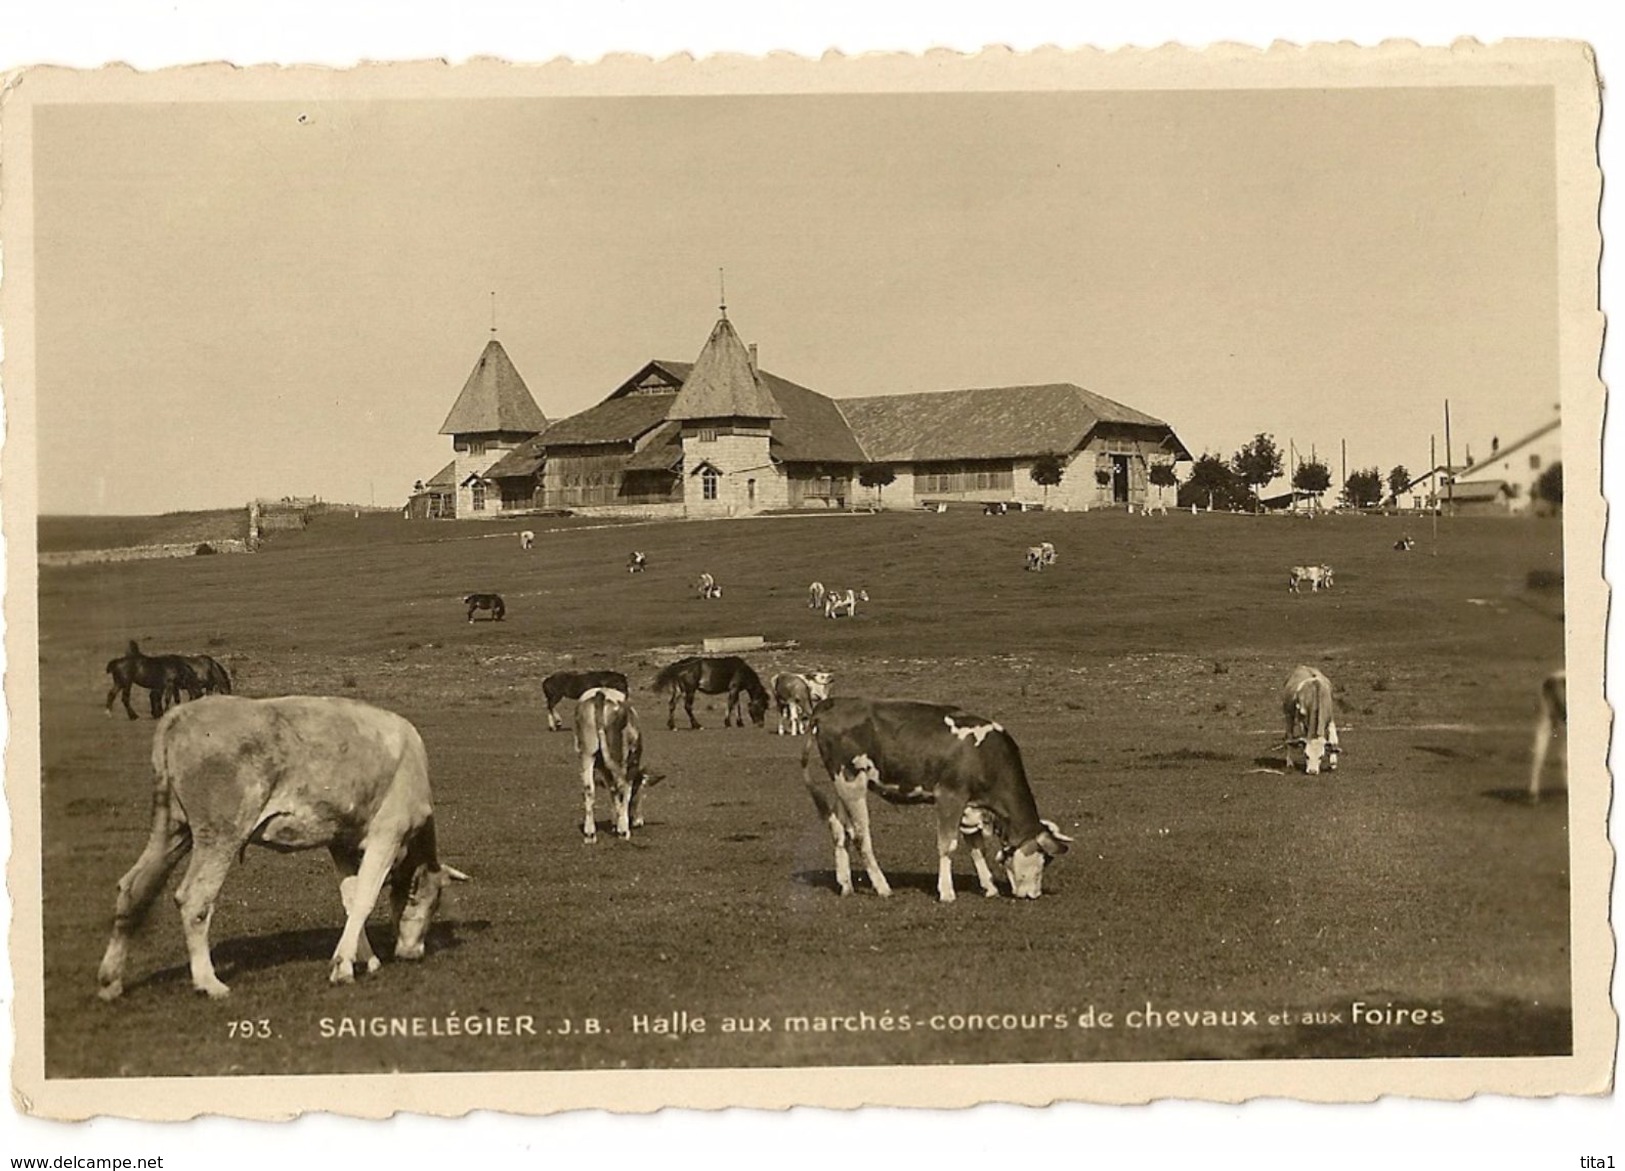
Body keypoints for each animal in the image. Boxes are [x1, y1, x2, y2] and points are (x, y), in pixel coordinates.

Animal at [98, 698, 471, 1000]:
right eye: (428, 902)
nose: (413, 954)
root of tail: (181, 713)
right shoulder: (388, 832)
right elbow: (365, 898)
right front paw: (342, 966)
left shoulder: (341, 842)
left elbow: (351, 900)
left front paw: (363, 959)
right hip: (220, 832)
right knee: (194, 898)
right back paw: (209, 982)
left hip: (173, 827)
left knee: (132, 887)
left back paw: (110, 981)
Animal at [575, 685, 663, 838]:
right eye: (641, 792)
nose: (639, 821)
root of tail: (601, 693)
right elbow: (624, 792)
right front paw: (621, 823)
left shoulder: (604, 768)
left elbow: (612, 790)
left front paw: (615, 822)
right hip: (622, 757)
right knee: (623, 785)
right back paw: (624, 830)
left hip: (588, 753)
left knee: (589, 789)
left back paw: (590, 833)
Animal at [802, 698, 1079, 903]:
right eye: (1042, 858)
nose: (1034, 894)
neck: (985, 756)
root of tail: (834, 702)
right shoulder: (950, 796)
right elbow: (948, 845)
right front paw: (946, 892)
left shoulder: (970, 808)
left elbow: (977, 847)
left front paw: (989, 887)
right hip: (852, 782)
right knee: (861, 836)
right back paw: (882, 887)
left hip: (841, 784)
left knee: (839, 829)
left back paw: (846, 884)